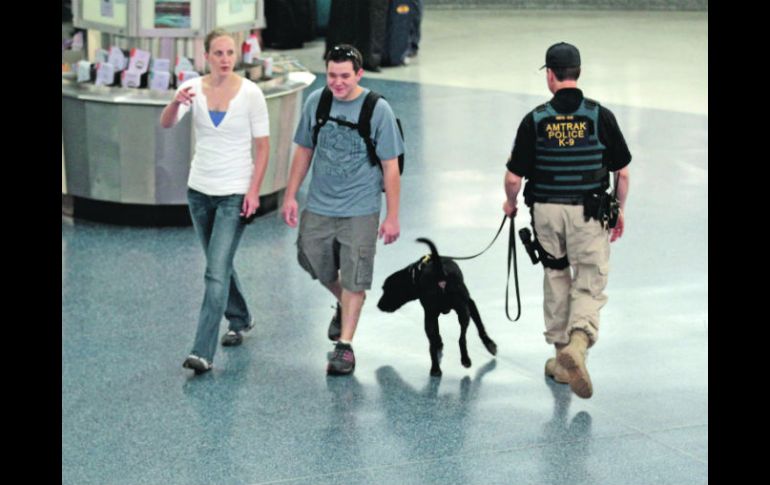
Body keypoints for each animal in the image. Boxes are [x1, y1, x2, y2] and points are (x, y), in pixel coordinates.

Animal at [376, 237, 496, 374]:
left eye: (387, 289)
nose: (378, 305)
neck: (415, 273)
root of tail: (440, 272)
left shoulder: (463, 305)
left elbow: (480, 327)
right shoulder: (468, 304)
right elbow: (480, 326)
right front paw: (489, 344)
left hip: (435, 316)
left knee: (437, 343)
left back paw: (437, 367)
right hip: (459, 313)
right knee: (461, 338)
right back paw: (461, 360)